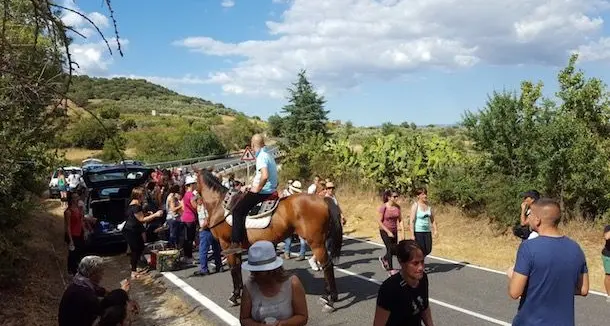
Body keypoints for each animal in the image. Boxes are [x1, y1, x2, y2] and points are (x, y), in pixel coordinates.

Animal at [197, 169, 344, 310]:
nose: (194, 198)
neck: (219, 205)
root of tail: (322, 199)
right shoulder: (236, 248)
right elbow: (237, 268)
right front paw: (238, 293)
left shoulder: (226, 244)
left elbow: (233, 269)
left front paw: (234, 297)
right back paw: (327, 296)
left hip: (316, 243)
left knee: (327, 265)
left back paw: (330, 300)